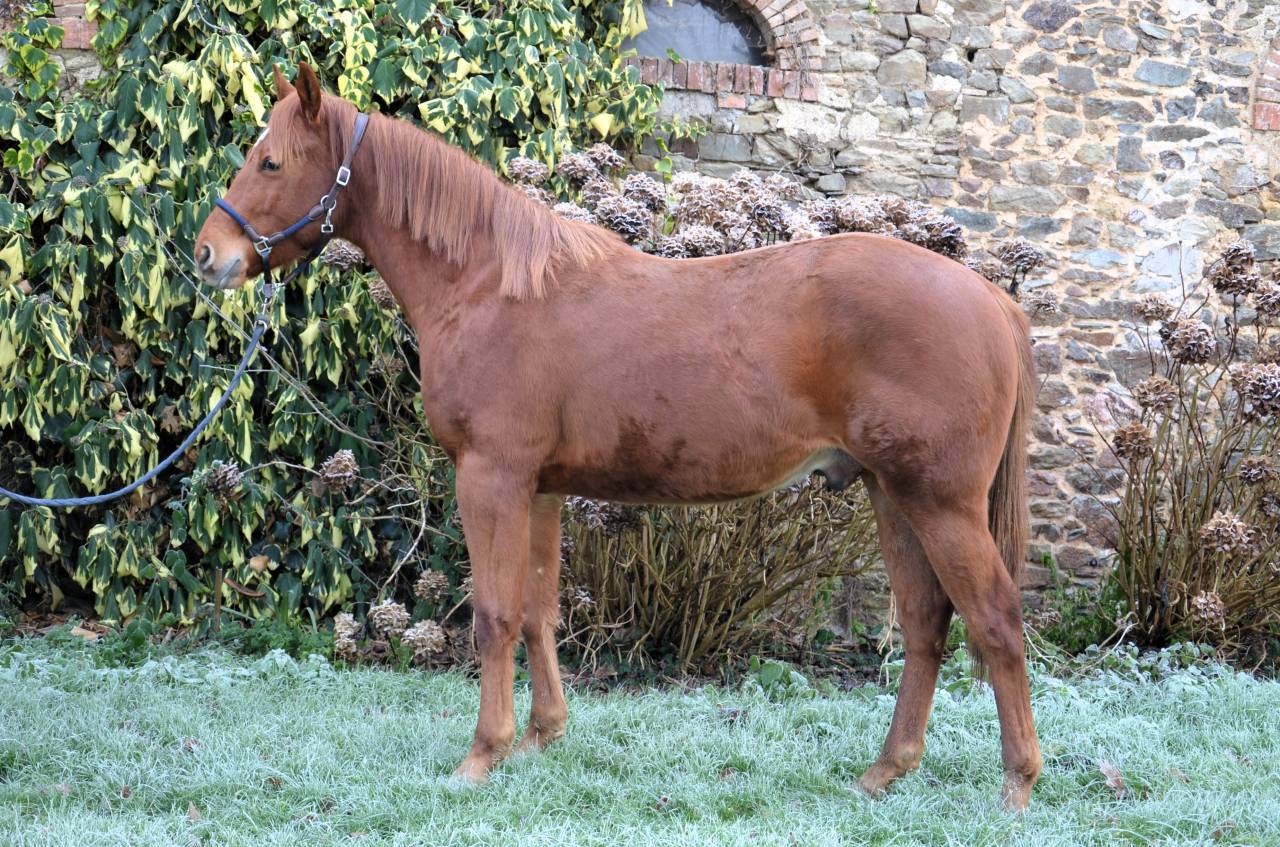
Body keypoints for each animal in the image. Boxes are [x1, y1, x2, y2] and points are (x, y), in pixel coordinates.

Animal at [194, 63, 1042, 810]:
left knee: (996, 619)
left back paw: (1016, 784)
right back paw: (883, 772)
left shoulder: (490, 476)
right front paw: (541, 736)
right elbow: (537, 610)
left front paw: (481, 755)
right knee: (924, 622)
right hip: (890, 493)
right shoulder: (540, 488)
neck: (488, 283)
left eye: (270, 160)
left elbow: (493, 613)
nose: (209, 255)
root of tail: (992, 301)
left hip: (940, 502)